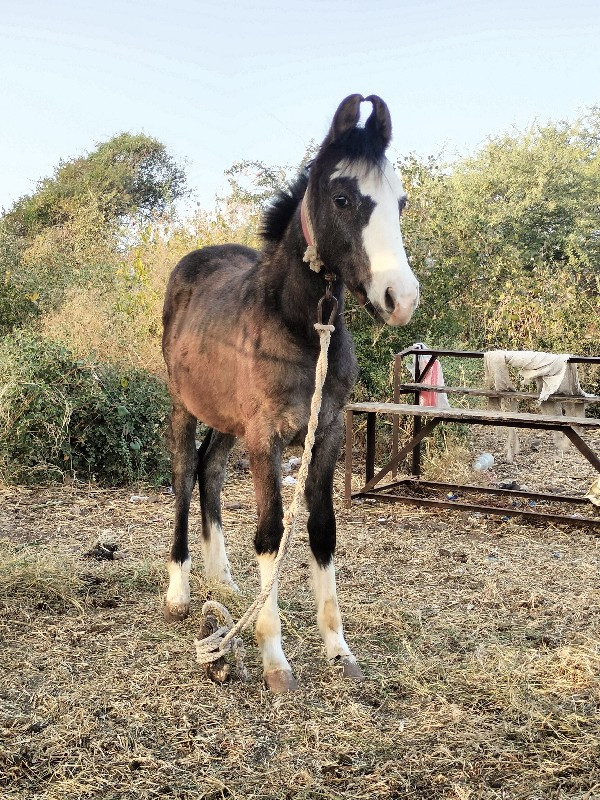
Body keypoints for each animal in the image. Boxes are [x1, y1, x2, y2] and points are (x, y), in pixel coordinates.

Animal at [162, 94, 420, 692]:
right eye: (343, 198)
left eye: (399, 202)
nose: (401, 298)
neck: (302, 326)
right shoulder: (267, 437)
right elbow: (270, 534)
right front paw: (274, 660)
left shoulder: (325, 432)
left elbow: (321, 529)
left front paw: (339, 650)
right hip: (186, 408)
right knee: (185, 477)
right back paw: (180, 592)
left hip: (228, 420)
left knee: (210, 469)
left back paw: (224, 583)